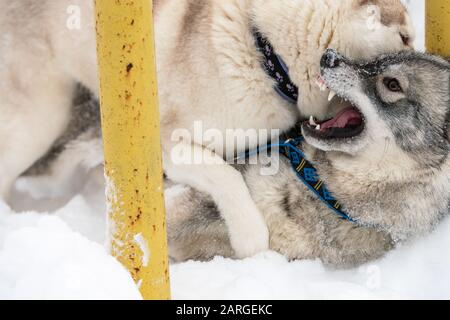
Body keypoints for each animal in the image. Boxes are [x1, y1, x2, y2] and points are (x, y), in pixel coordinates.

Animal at [0, 0, 414, 258]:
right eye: (405, 37)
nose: (420, 66)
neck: (266, 56)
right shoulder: (169, 144)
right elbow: (225, 176)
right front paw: (250, 240)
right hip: (40, 118)